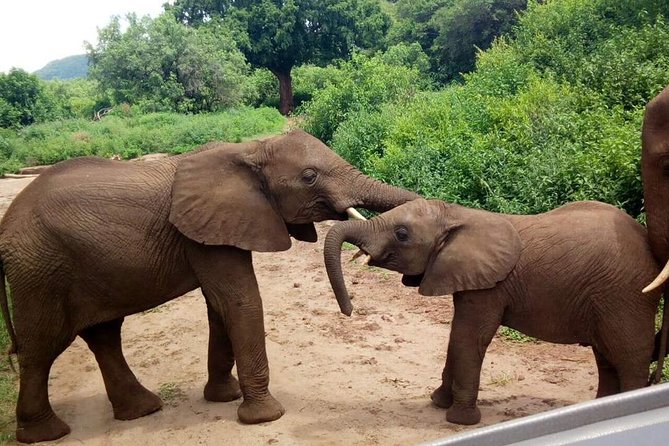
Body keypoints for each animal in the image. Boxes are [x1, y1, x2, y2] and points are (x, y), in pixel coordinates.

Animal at [0, 129, 419, 443]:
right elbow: (240, 301)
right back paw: (47, 434)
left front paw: (224, 398)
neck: (249, 148)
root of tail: (5, 225)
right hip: (39, 270)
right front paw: (265, 417)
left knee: (104, 335)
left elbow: (220, 306)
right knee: (43, 346)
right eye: (309, 176)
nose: (350, 310)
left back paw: (142, 411)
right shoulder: (205, 231)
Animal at [323, 198, 661, 425]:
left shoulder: (490, 286)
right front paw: (438, 402)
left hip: (626, 294)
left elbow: (468, 337)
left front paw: (459, 420)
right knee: (606, 356)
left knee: (628, 355)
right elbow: (456, 336)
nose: (349, 310)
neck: (458, 215)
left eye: (402, 234)